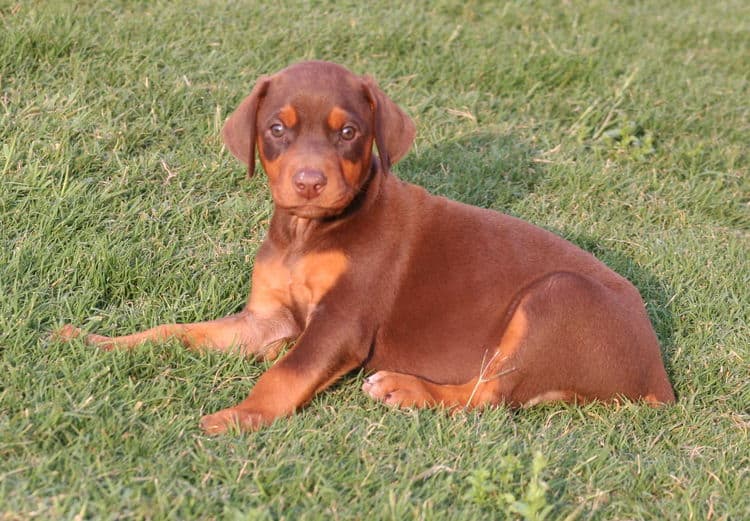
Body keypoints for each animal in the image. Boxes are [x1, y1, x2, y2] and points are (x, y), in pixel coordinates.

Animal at [57, 61, 676, 432]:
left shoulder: (341, 322)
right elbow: (177, 332)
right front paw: (95, 341)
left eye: (348, 132)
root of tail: (659, 378)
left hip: (556, 299)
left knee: (489, 398)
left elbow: (286, 372)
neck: (308, 233)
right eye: (277, 129)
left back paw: (403, 388)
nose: (309, 182)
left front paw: (239, 416)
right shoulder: (266, 319)